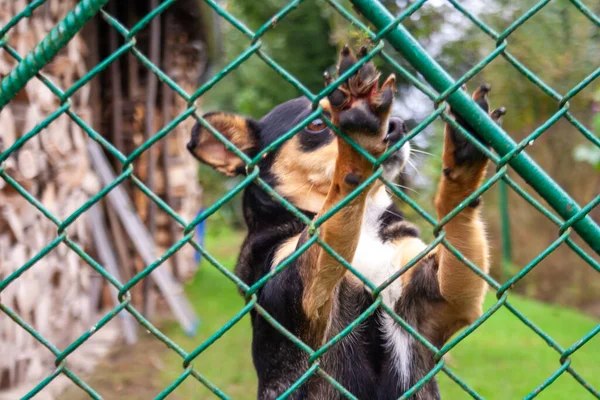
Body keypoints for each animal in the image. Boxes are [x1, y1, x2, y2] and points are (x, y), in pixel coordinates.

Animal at [189, 47, 506, 400]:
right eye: (316, 124)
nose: (397, 124)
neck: (364, 221)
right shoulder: (303, 291)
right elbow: (340, 195)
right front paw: (360, 138)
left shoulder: (446, 300)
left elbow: (457, 218)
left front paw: (466, 147)